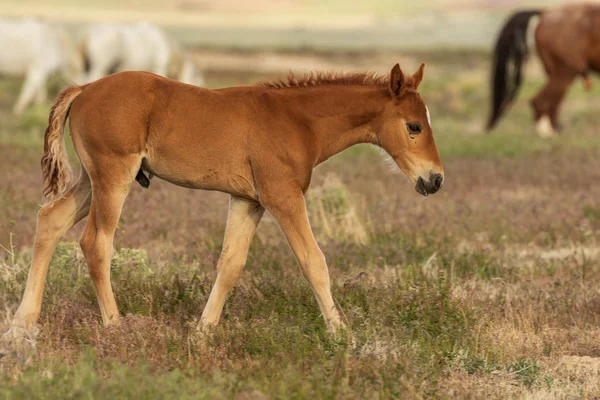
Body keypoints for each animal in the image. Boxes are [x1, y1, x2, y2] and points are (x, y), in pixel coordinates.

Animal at [8, 64, 440, 336]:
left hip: (91, 178)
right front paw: (342, 335)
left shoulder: (248, 200)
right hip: (114, 175)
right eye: (414, 126)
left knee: (50, 220)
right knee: (96, 242)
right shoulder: (283, 196)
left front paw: (203, 331)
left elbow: (231, 264)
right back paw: (114, 326)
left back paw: (22, 322)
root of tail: (84, 89)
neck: (298, 121)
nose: (434, 179)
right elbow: (314, 262)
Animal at [488, 2, 600, 138]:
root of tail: (546, 12)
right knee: (541, 101)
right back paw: (547, 134)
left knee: (552, 102)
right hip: (565, 70)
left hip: (555, 71)